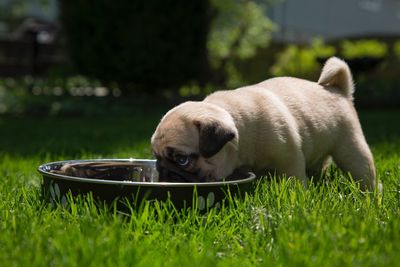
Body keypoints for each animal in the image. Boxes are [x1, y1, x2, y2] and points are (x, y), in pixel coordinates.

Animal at [152, 57, 376, 191]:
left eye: (182, 160)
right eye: (156, 157)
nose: (163, 169)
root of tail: (339, 90)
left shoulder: (289, 161)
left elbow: (294, 182)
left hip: (350, 148)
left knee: (363, 172)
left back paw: (370, 196)